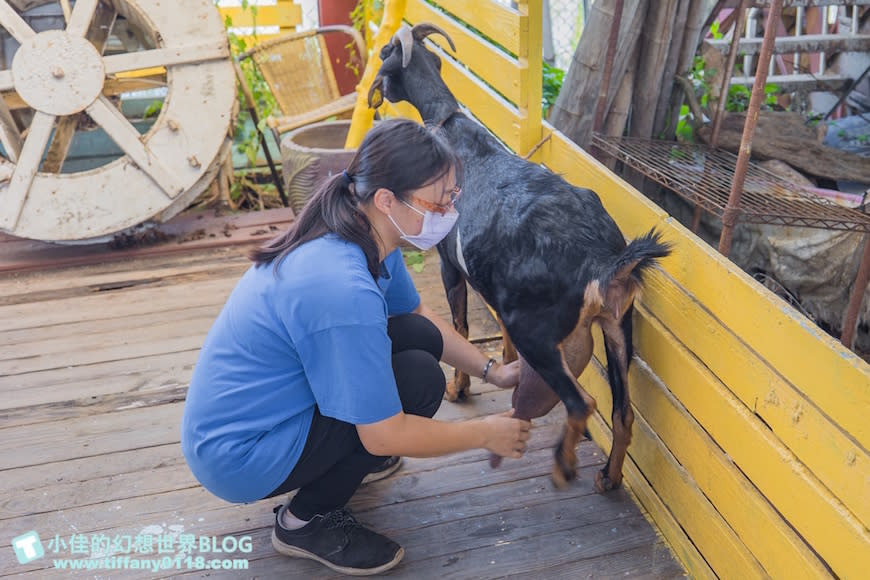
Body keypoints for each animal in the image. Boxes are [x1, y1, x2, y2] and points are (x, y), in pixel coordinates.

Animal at [370, 24, 676, 492]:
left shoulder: (450, 265)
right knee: (623, 412)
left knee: (582, 402)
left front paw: (459, 389)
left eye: (386, 52)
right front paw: (509, 364)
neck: (450, 129)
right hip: (618, 326)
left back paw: (562, 464)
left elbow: (459, 324)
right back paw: (608, 476)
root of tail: (599, 259)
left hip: (539, 331)